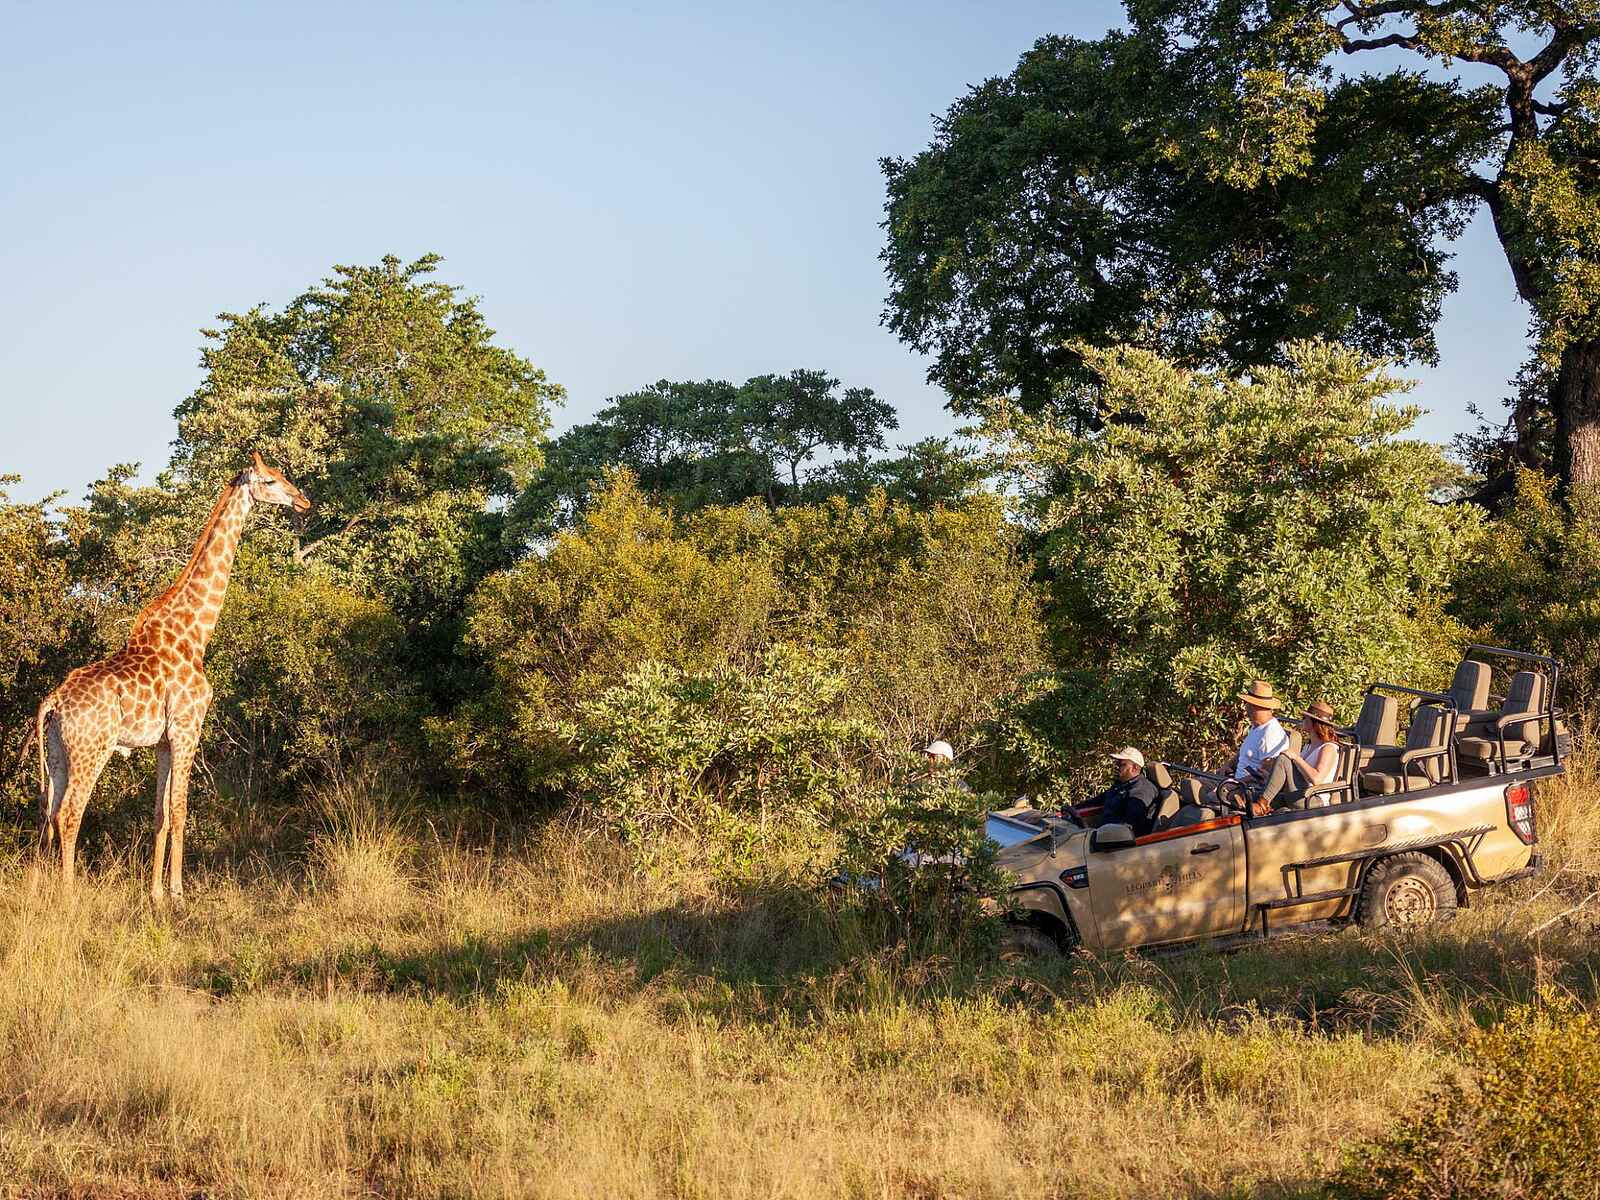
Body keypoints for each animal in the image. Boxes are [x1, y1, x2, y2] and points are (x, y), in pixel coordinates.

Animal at [35, 453, 311, 901]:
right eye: (270, 481)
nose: (303, 501)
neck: (194, 633)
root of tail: (54, 701)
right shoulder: (187, 727)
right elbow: (181, 810)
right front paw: (179, 894)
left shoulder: (164, 741)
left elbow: (160, 814)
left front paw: (156, 893)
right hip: (92, 748)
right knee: (70, 813)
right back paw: (69, 894)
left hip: (59, 749)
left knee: (48, 809)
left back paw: (40, 888)